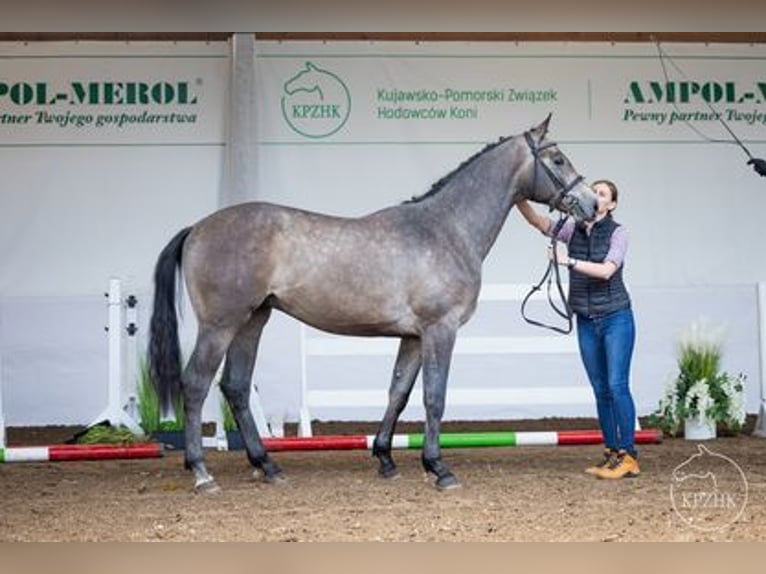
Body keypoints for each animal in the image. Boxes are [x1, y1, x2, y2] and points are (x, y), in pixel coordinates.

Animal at [147, 115, 596, 492]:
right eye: (557, 158)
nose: (592, 204)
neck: (446, 229)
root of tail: (197, 228)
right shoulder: (440, 329)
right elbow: (434, 396)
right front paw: (439, 468)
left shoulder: (413, 337)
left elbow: (398, 392)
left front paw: (385, 458)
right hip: (221, 325)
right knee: (197, 384)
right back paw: (202, 472)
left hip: (253, 320)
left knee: (236, 387)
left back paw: (268, 466)